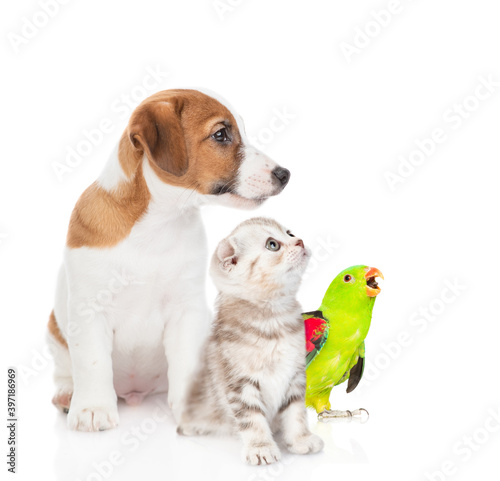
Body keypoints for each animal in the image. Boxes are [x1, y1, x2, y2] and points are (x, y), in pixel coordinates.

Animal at [47, 89, 290, 432]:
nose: (284, 174)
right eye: (221, 134)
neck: (158, 223)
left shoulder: (186, 311)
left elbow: (185, 363)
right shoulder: (89, 310)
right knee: (65, 370)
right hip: (54, 330)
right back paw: (68, 394)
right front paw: (93, 408)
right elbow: (93, 363)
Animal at [178, 218, 326, 464]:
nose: (300, 241)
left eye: (290, 233)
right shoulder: (240, 383)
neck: (274, 321)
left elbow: (296, 413)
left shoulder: (295, 376)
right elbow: (252, 419)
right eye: (273, 245)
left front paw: (300, 439)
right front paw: (261, 447)